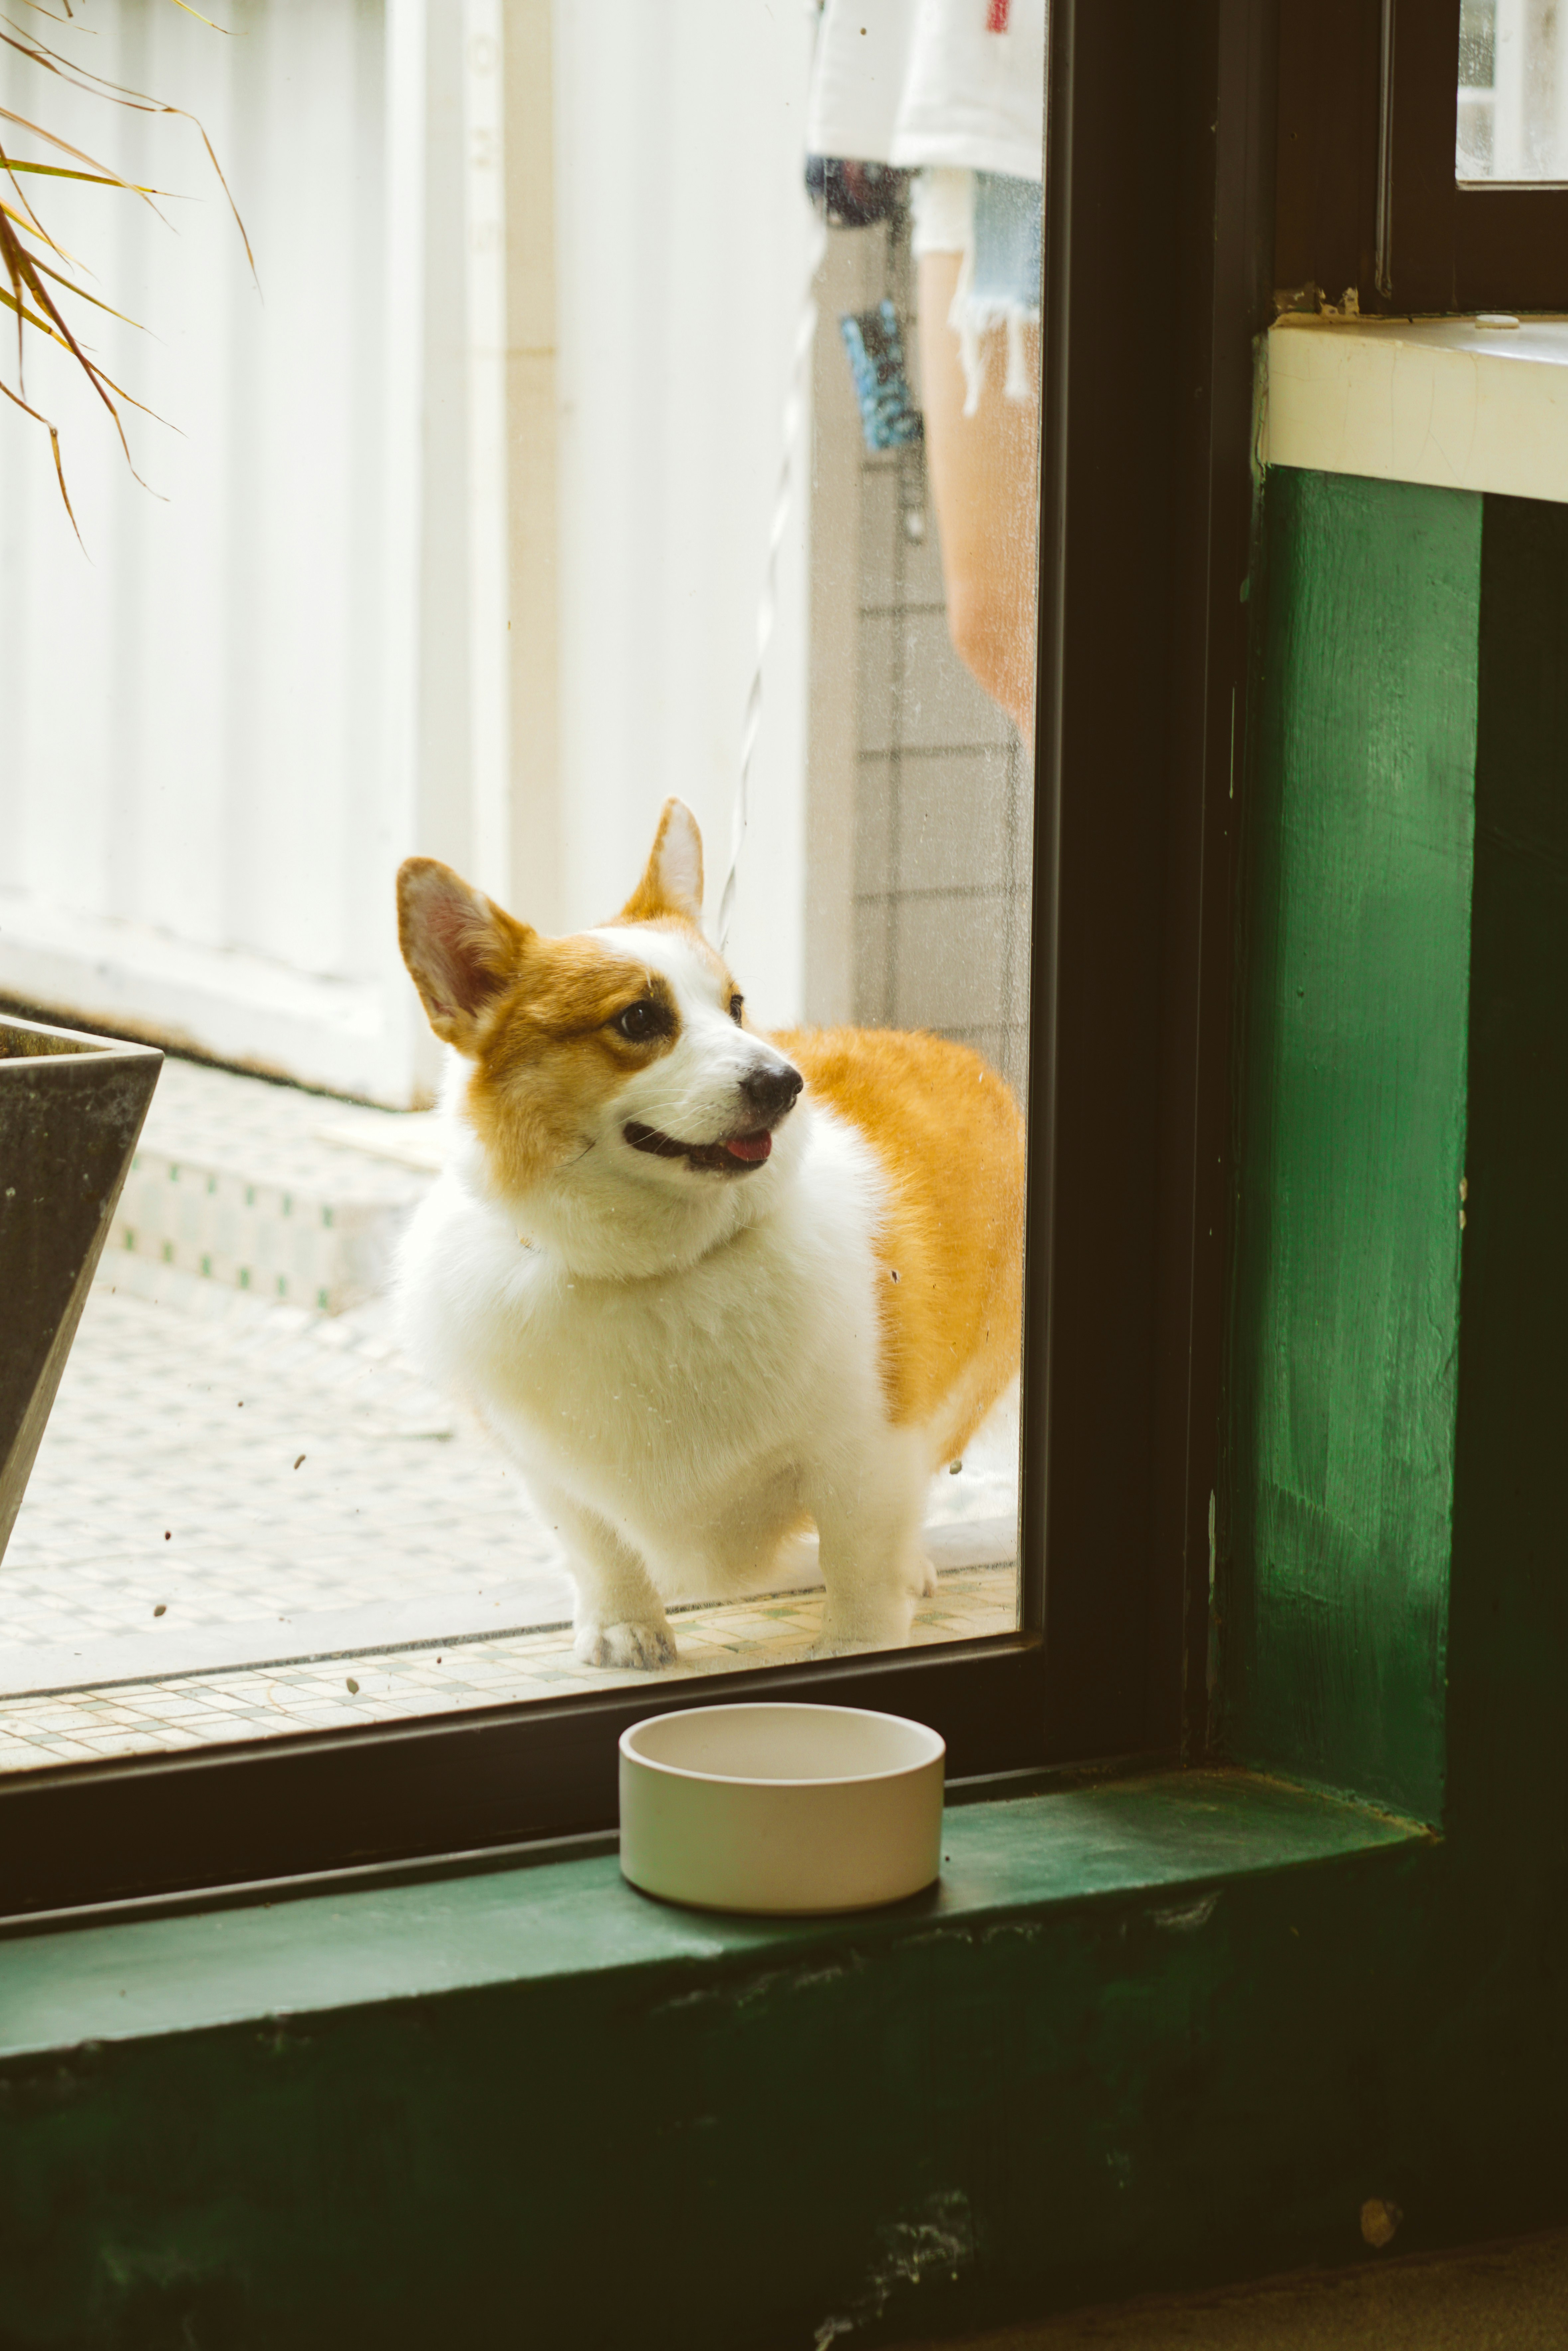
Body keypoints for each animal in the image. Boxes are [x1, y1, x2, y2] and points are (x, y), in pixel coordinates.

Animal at [400, 799, 1025, 1664]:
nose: (785, 1083)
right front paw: (625, 1630)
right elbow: (597, 1548)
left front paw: (855, 1644)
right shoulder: (548, 1471)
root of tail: (945, 1047)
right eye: (638, 1018)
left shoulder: (866, 1450)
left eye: (734, 1004)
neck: (654, 1264)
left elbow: (860, 1561)